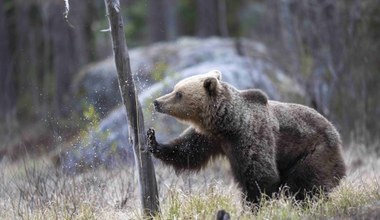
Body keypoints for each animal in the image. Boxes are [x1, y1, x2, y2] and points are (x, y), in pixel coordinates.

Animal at [147, 70, 346, 205]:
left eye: (178, 93)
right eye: (175, 89)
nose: (157, 102)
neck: (229, 123)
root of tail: (335, 132)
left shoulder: (251, 136)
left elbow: (260, 176)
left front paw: (253, 206)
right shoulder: (211, 138)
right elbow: (188, 151)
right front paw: (152, 140)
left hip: (314, 152)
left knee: (306, 185)